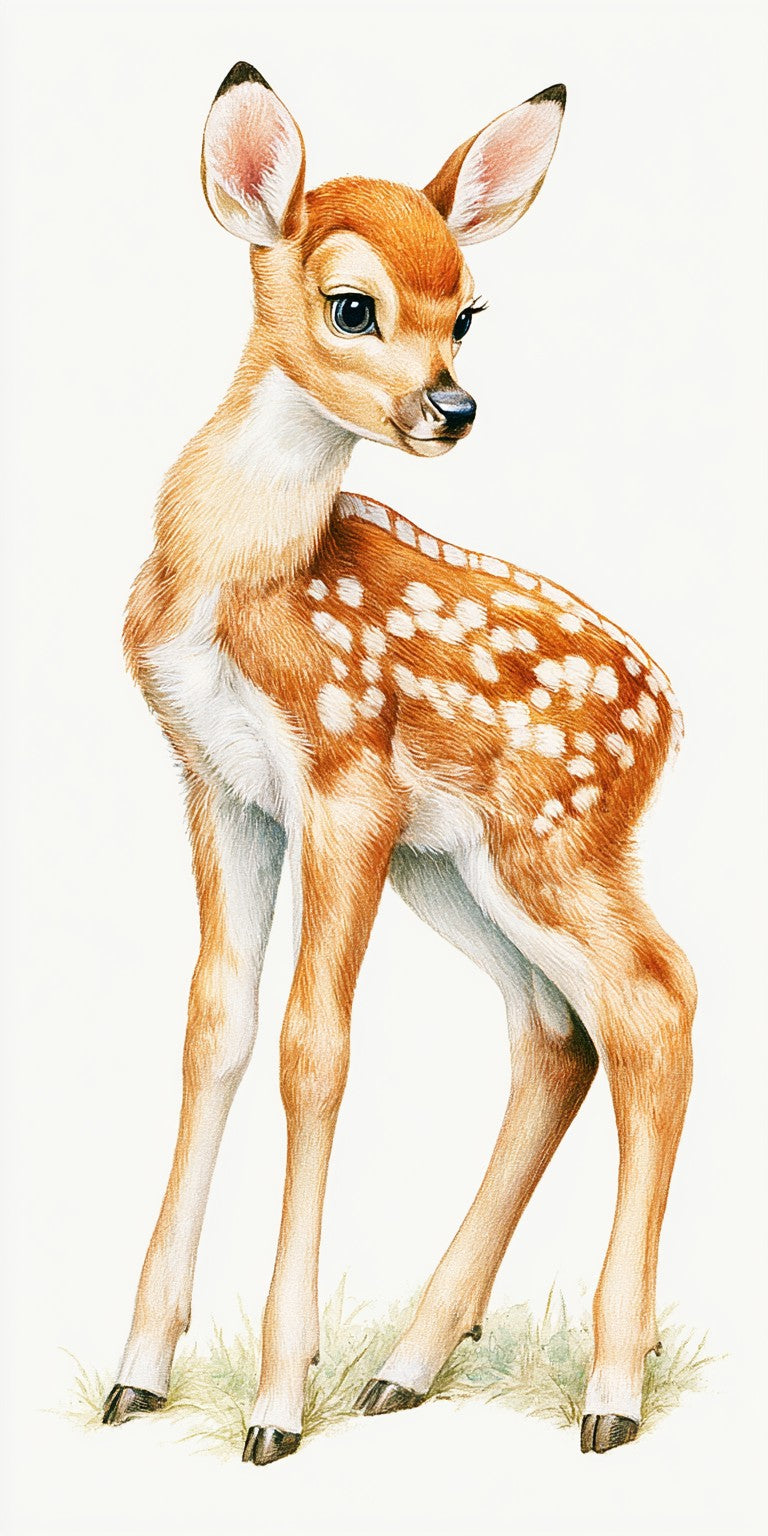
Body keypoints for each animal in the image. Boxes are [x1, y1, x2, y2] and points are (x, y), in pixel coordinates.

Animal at [102, 61, 696, 1466]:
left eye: (469, 312)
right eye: (353, 303)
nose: (454, 407)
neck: (241, 579)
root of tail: (669, 714)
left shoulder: (345, 780)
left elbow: (314, 1047)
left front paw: (274, 1404)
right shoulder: (220, 785)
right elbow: (216, 1026)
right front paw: (139, 1375)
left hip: (553, 838)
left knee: (657, 1000)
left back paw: (610, 1389)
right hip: (457, 866)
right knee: (558, 1032)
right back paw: (410, 1365)